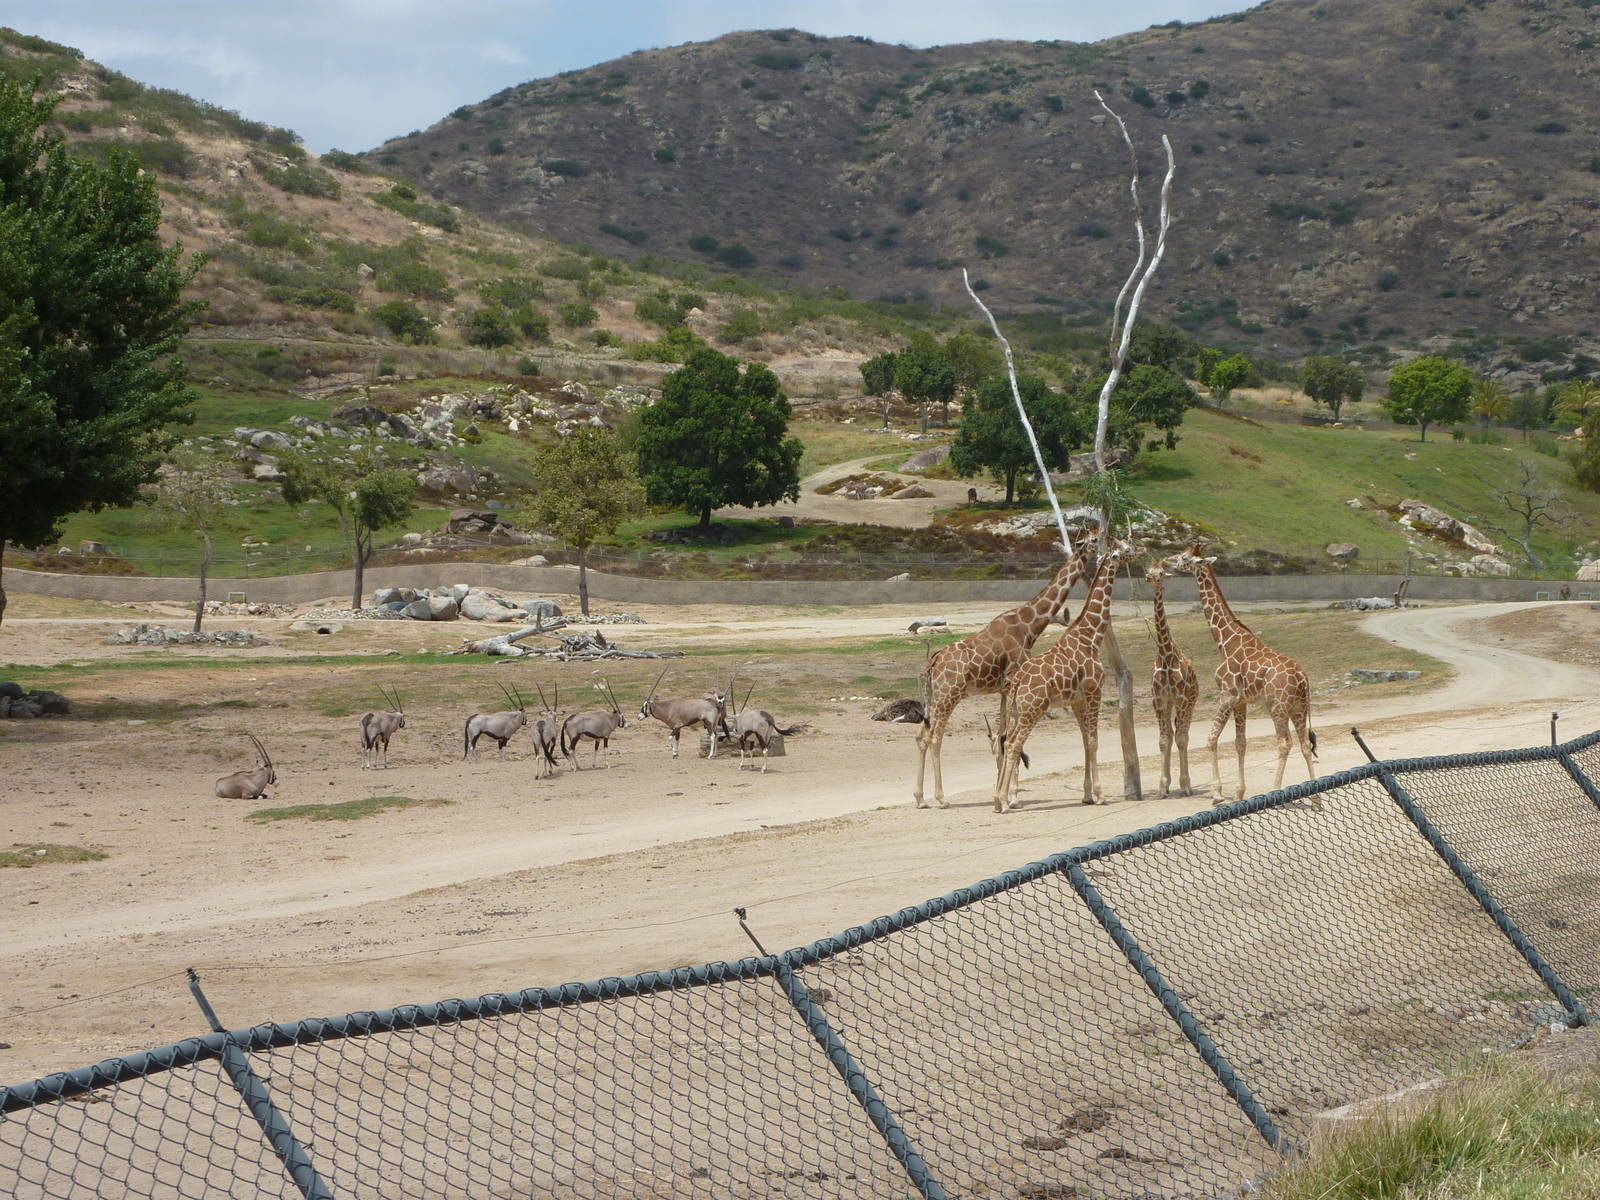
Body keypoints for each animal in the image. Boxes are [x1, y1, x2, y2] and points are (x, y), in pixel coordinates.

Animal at [913, 529, 1100, 808]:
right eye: (1090, 540)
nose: (1100, 545)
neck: (1029, 626)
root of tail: (932, 662)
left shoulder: (1004, 689)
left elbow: (1001, 737)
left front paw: (1005, 795)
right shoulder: (1014, 682)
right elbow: (1008, 738)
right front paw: (1012, 797)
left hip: (935, 696)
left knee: (920, 734)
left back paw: (920, 798)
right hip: (949, 695)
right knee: (935, 736)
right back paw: (941, 798)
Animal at [993, 540, 1134, 812]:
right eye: (1123, 549)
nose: (1137, 551)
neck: (1091, 635)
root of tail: (1016, 681)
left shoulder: (1077, 700)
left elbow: (1085, 742)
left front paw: (1087, 795)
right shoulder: (1094, 691)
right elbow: (1094, 741)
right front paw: (1100, 795)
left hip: (1016, 710)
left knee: (1007, 742)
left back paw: (998, 799)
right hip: (1033, 709)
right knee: (1015, 743)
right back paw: (1003, 801)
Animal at [1164, 545, 1319, 808]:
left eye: (1184, 557)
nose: (1166, 561)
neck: (1225, 640)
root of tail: (1303, 679)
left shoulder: (1226, 695)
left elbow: (1211, 739)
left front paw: (1217, 794)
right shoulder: (1241, 702)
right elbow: (1240, 744)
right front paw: (1238, 792)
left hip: (1277, 707)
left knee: (1284, 743)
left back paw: (1275, 791)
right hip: (1298, 708)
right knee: (1305, 744)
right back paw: (1316, 797)